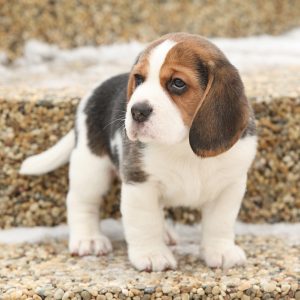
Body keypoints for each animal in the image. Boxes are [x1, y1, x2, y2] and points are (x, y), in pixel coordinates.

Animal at [20, 32, 255, 272]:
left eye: (178, 83)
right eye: (139, 79)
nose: (137, 111)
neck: (183, 147)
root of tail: (94, 92)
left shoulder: (229, 186)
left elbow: (220, 222)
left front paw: (221, 251)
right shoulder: (139, 182)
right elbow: (145, 222)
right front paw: (152, 254)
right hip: (90, 167)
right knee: (81, 202)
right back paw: (89, 239)